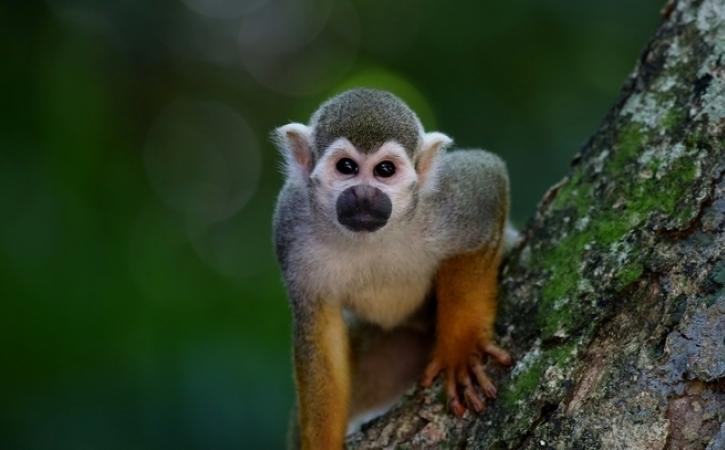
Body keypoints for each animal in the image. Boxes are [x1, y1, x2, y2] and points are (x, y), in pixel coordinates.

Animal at [272, 88, 513, 450]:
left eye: (385, 170)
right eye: (346, 167)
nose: (363, 196)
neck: (369, 238)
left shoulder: (446, 200)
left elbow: (488, 179)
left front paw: (461, 347)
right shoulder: (291, 226)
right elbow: (319, 330)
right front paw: (321, 443)